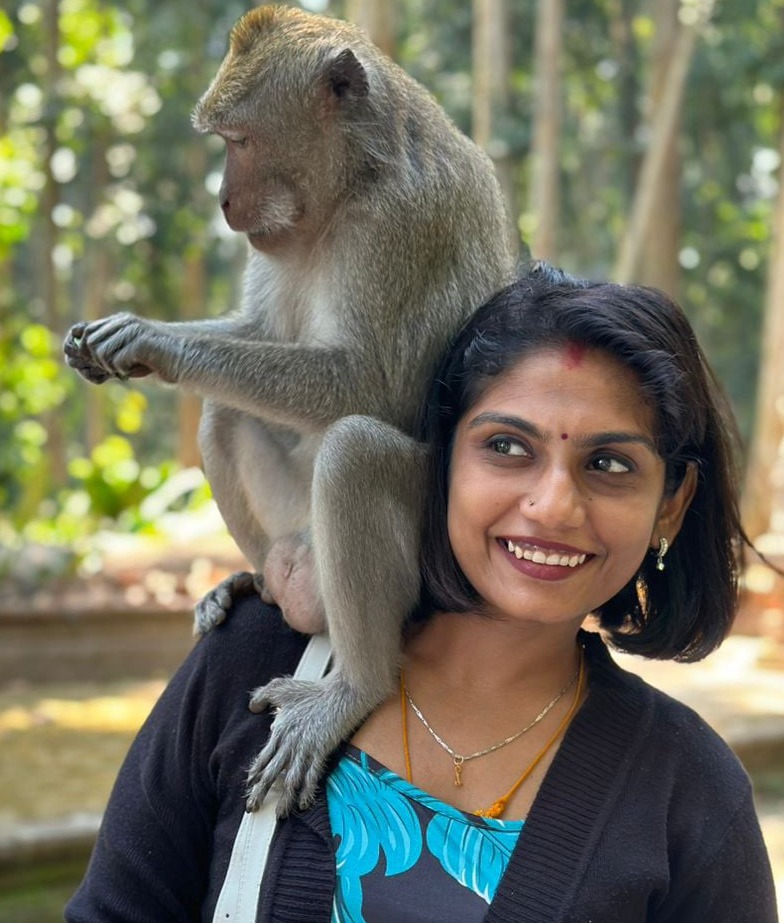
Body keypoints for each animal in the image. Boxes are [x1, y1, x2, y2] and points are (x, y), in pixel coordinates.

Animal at [64, 5, 516, 816]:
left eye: (238, 141)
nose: (222, 200)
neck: (353, 178)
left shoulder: (395, 226)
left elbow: (367, 385)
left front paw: (150, 340)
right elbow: (258, 337)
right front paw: (120, 340)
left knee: (352, 451)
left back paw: (355, 686)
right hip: (294, 529)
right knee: (225, 409)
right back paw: (256, 582)